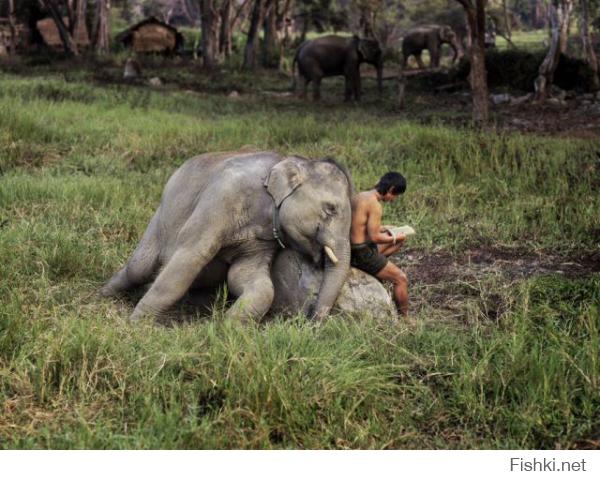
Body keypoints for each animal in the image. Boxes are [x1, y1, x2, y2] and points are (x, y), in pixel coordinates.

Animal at [102, 150, 356, 322]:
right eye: (331, 209)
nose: (312, 321)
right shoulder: (223, 197)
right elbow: (191, 257)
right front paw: (137, 325)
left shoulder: (263, 240)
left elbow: (249, 278)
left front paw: (227, 327)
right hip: (160, 219)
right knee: (139, 268)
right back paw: (104, 294)